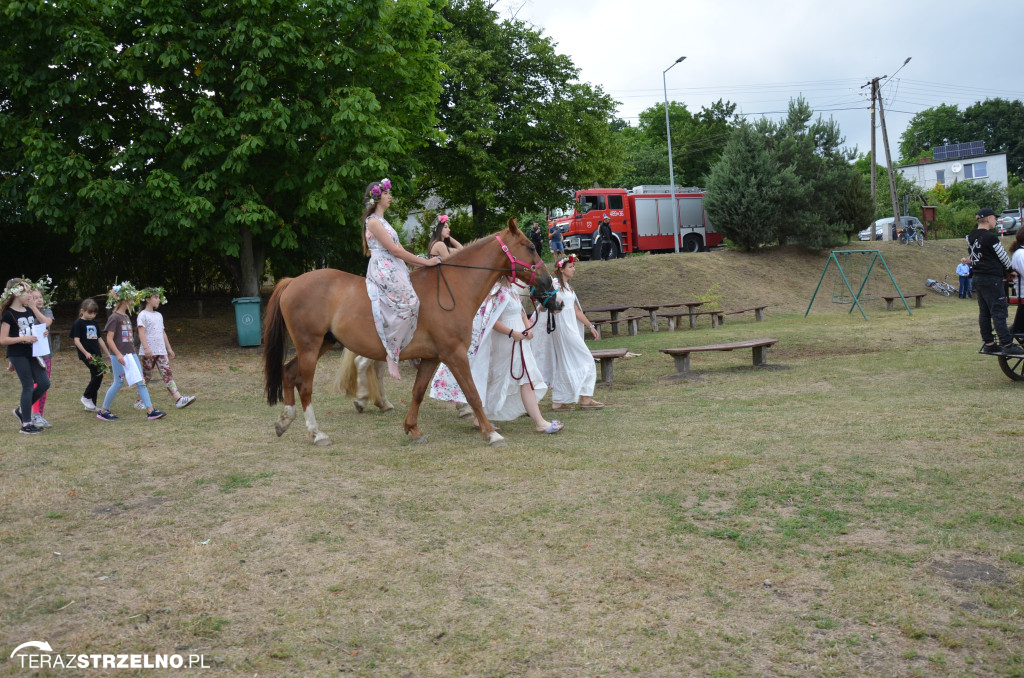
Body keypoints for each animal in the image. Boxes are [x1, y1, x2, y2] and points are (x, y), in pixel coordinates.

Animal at [262, 220, 561, 448]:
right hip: (310, 346)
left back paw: (284, 421)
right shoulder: (455, 355)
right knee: (304, 385)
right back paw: (317, 433)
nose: (550, 286)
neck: (454, 289)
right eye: (531, 246)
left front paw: (412, 429)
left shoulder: (432, 357)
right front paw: (491, 433)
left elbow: (417, 392)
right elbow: (472, 393)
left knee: (289, 374)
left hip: (321, 344)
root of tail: (293, 281)